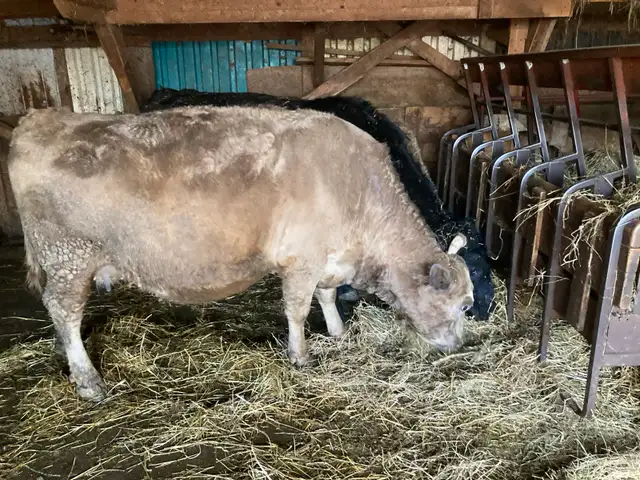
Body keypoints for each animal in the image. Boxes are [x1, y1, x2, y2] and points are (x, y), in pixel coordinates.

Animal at [8, 106, 474, 402]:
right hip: (69, 254)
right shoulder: (301, 259)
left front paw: (339, 333)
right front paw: (301, 357)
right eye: (464, 304)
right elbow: (297, 310)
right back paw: (88, 381)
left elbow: (326, 296)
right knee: (64, 311)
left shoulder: (328, 259)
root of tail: (42, 118)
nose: (458, 346)